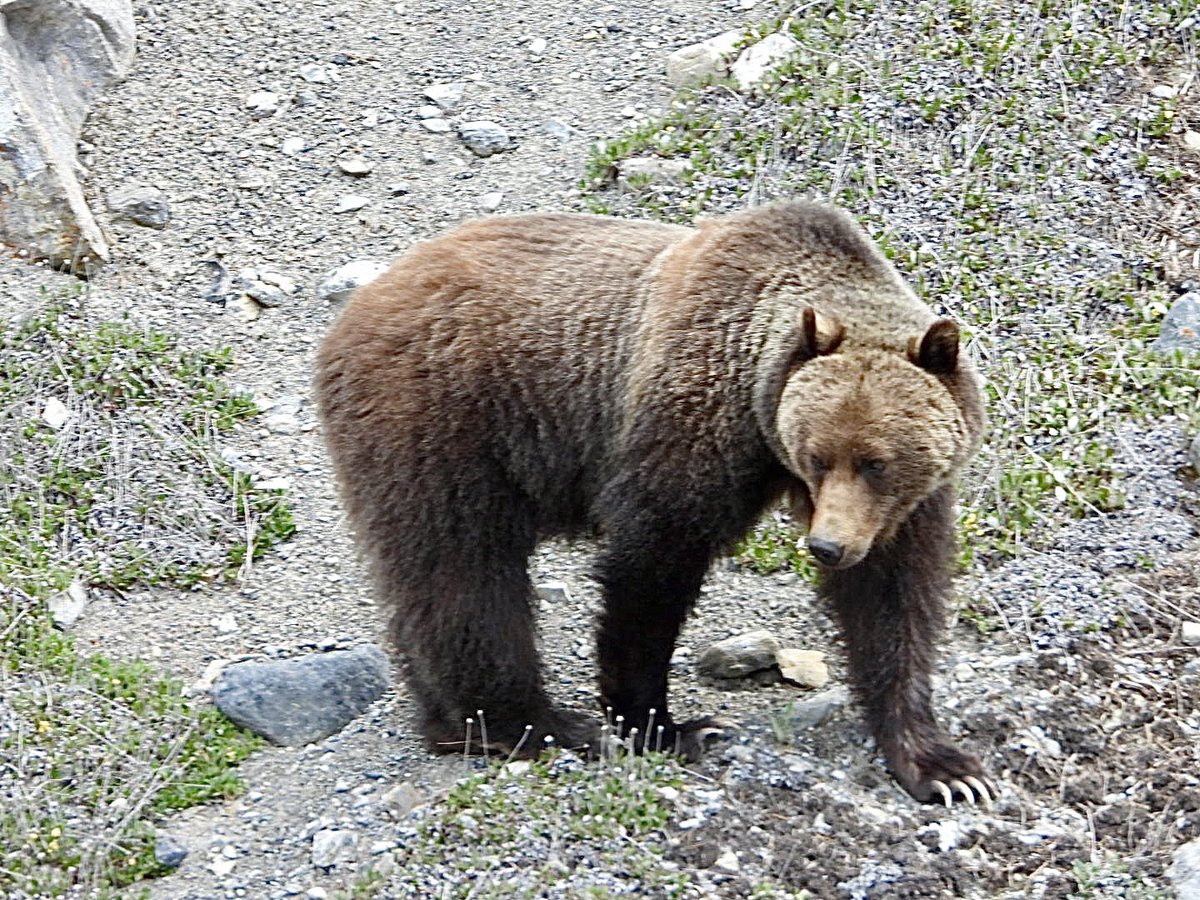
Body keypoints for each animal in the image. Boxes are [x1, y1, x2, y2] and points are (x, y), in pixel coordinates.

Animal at [314, 200, 994, 806]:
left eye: (875, 461)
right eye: (819, 455)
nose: (827, 546)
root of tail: (356, 309)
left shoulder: (897, 508)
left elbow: (892, 599)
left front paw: (943, 766)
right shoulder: (691, 420)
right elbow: (652, 567)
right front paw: (668, 727)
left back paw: (449, 723)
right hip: (445, 418)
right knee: (465, 571)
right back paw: (532, 724)